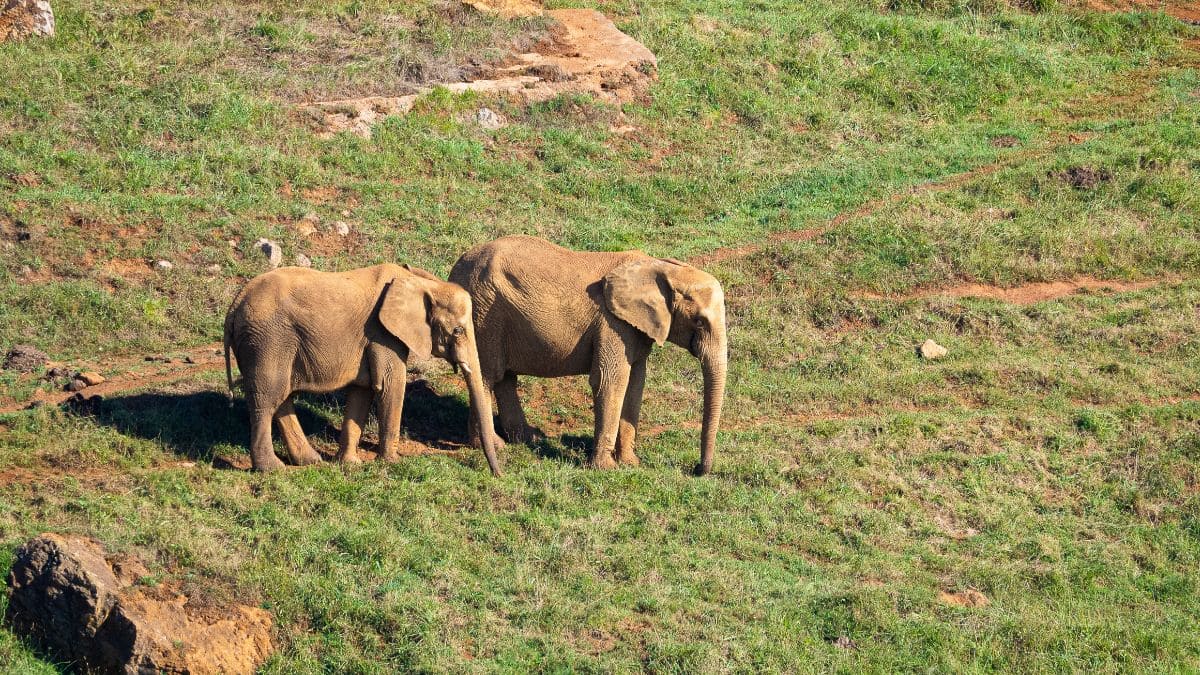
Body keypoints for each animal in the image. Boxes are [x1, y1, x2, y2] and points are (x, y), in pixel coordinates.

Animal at [224, 261, 501, 473]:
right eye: (458, 331)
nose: (496, 473)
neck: (418, 282)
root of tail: (235, 304)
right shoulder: (383, 333)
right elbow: (390, 385)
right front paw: (391, 462)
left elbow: (363, 391)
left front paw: (349, 464)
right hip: (267, 341)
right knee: (267, 399)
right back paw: (272, 469)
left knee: (281, 397)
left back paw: (310, 462)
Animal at [451, 234, 724, 475]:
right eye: (699, 321)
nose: (697, 469)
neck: (658, 267)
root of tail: (457, 267)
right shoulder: (613, 324)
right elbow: (610, 381)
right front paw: (607, 469)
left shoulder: (634, 329)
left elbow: (636, 383)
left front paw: (631, 463)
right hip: (484, 315)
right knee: (487, 376)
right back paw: (493, 445)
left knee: (504, 378)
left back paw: (528, 439)